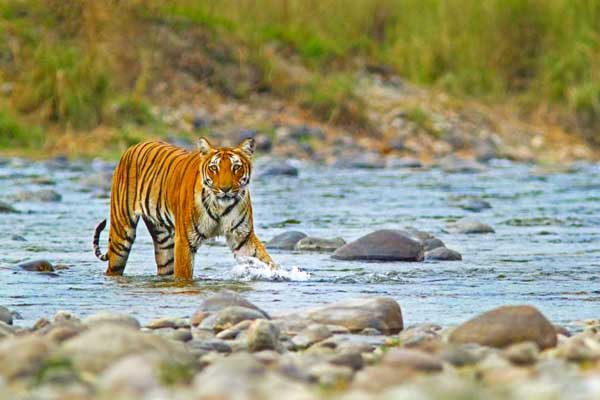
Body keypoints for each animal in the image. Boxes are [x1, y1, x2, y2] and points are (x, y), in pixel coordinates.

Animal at [92, 137, 276, 278]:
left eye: (236, 167)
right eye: (214, 168)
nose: (225, 189)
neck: (220, 206)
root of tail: (133, 146)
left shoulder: (242, 236)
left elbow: (264, 260)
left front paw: (278, 274)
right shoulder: (185, 241)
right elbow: (184, 275)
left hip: (164, 242)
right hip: (121, 234)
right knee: (113, 266)